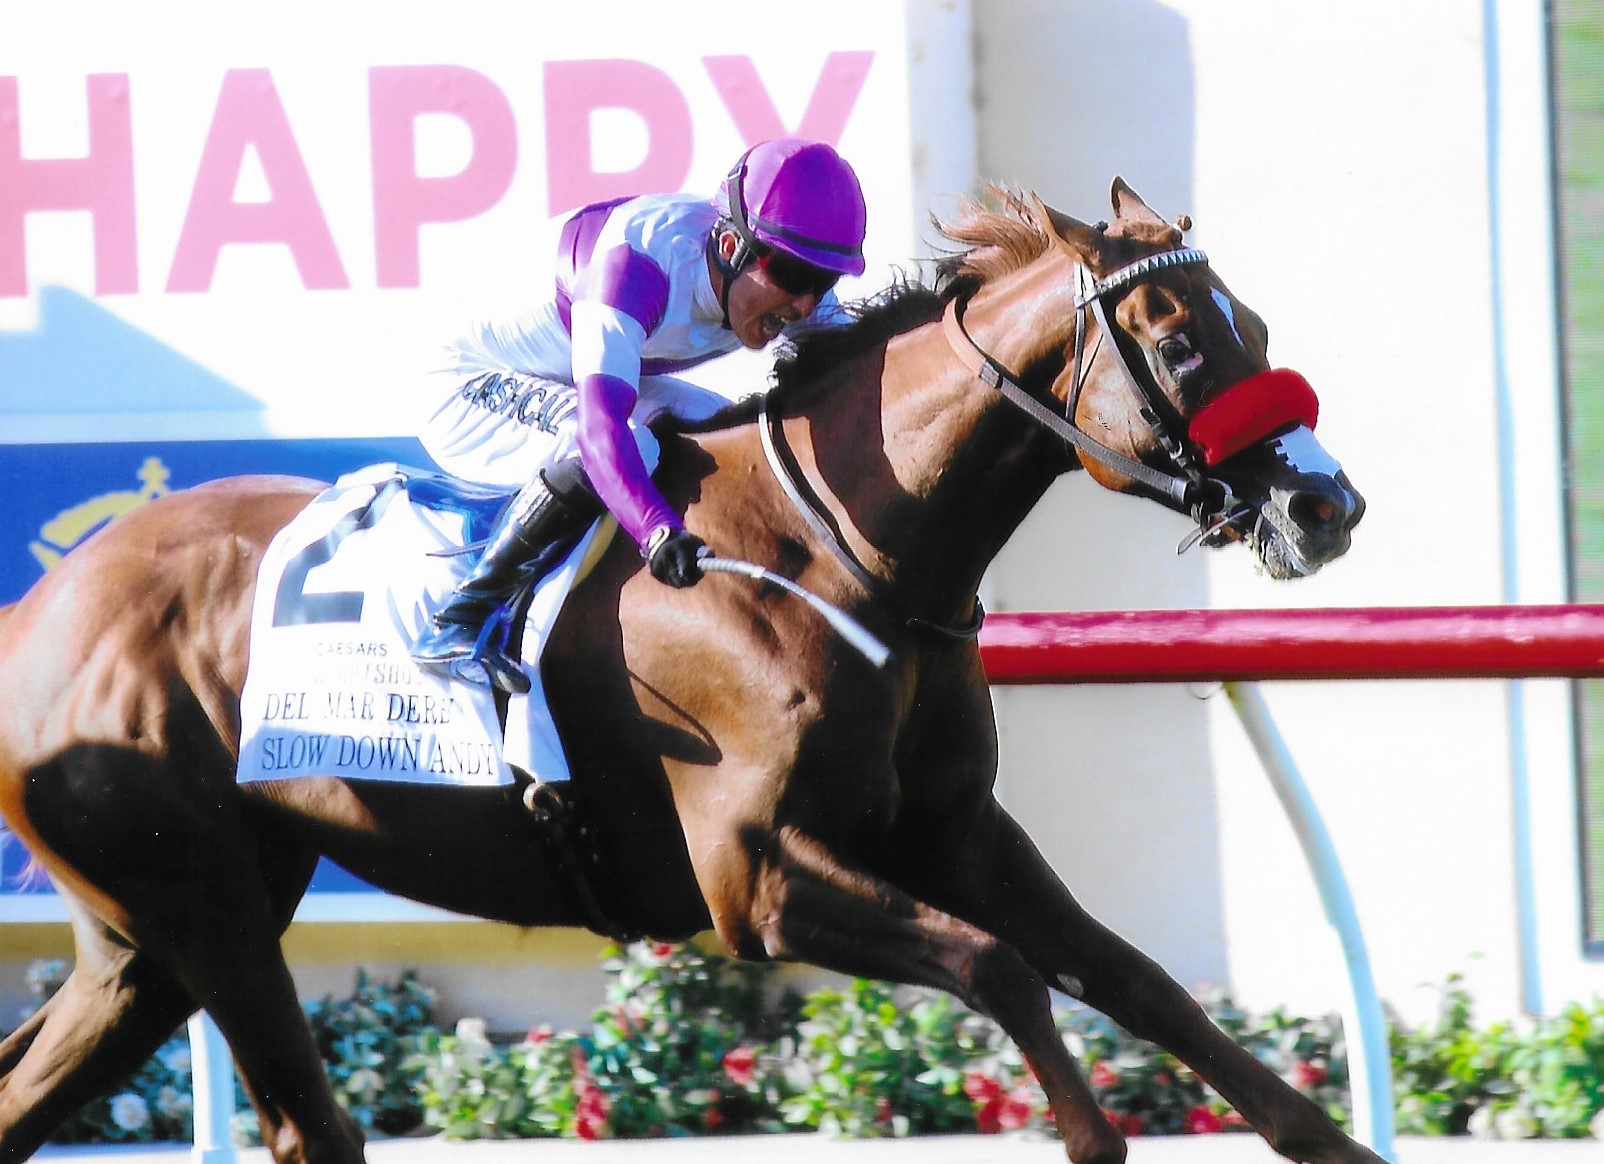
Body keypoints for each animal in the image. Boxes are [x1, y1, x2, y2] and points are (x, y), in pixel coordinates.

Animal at [3, 182, 1366, 1164]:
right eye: (1180, 347)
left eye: (1254, 329)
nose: (1327, 503)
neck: (840, 552)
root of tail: (40, 607)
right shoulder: (753, 877)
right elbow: (1003, 971)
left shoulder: (954, 834)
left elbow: (1138, 982)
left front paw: (1326, 1140)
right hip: (207, 911)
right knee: (310, 1127)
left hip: (149, 935)